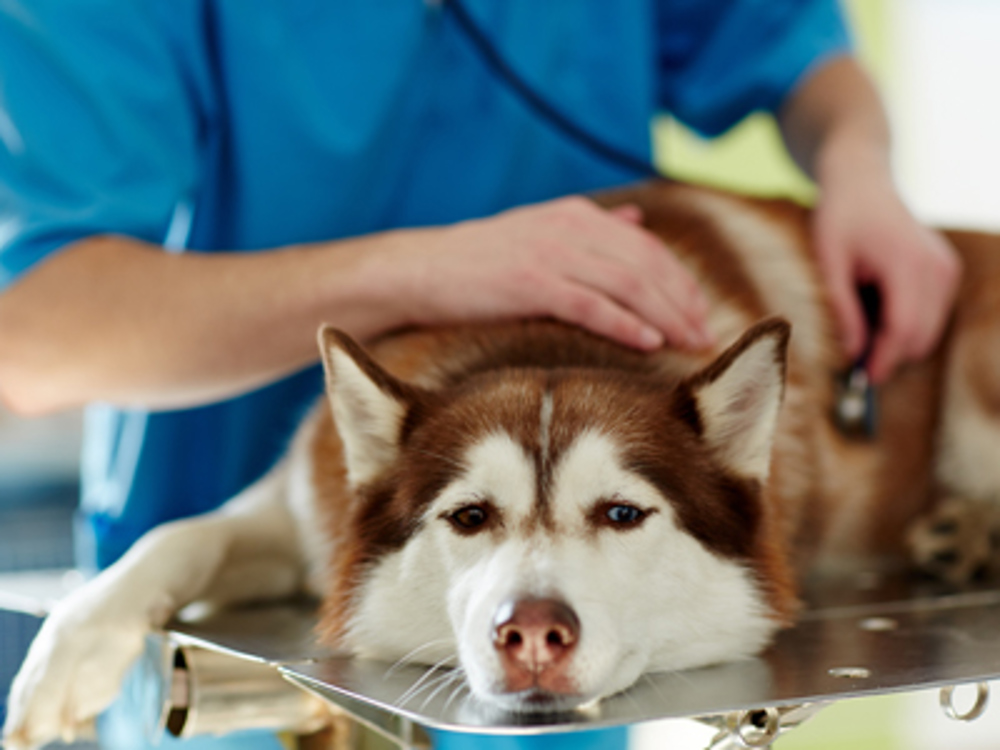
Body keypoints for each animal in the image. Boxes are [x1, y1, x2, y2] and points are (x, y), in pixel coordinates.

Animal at [5, 184, 1000, 750]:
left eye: (622, 514)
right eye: (469, 517)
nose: (531, 633)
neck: (544, 337)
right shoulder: (301, 510)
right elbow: (177, 538)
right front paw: (67, 658)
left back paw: (968, 533)